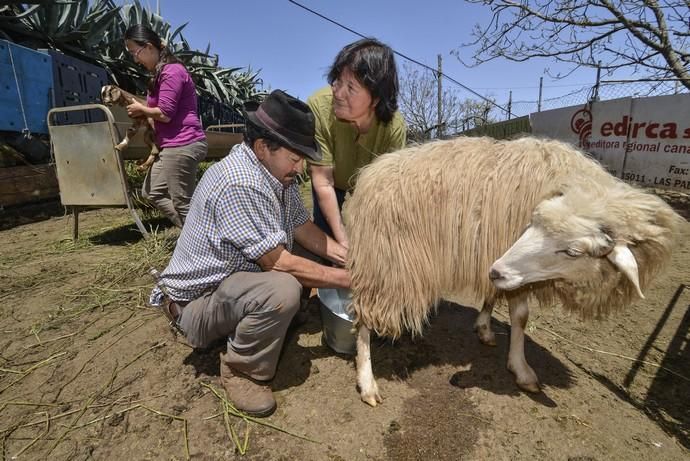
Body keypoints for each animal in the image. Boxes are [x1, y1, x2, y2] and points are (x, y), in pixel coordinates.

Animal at [344, 135, 684, 404]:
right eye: (532, 221)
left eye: (573, 251)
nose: (497, 270)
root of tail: (370, 173)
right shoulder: (513, 265)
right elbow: (520, 317)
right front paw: (521, 369)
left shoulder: (500, 258)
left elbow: (492, 294)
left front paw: (484, 327)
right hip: (385, 263)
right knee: (363, 319)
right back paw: (367, 382)